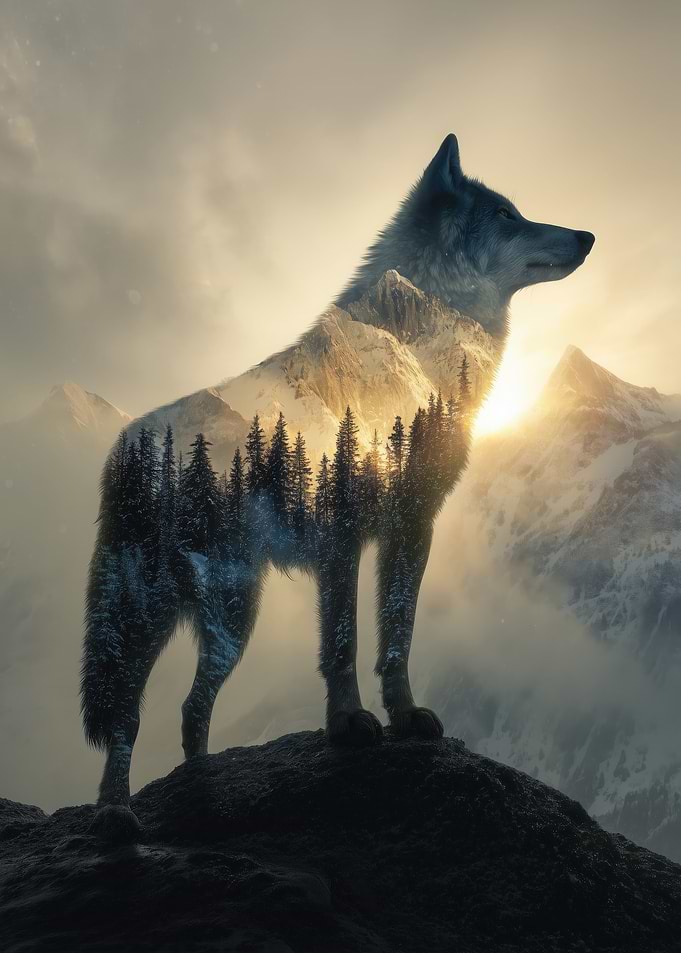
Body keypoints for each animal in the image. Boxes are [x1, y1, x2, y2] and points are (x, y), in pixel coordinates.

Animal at [82, 134, 594, 839]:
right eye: (508, 216)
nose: (589, 234)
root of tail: (122, 446)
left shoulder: (412, 525)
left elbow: (397, 635)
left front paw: (405, 718)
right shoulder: (343, 534)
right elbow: (344, 640)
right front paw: (350, 724)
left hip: (234, 620)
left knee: (190, 708)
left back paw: (202, 784)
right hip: (146, 615)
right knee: (126, 717)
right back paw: (114, 815)